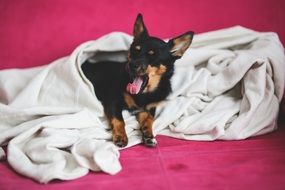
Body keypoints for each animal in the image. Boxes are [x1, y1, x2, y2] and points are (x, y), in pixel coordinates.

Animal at [81, 14, 193, 148]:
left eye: (153, 56)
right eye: (135, 51)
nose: (132, 65)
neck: (144, 94)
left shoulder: (148, 108)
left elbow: (149, 119)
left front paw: (149, 136)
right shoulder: (112, 101)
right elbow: (119, 120)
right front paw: (121, 136)